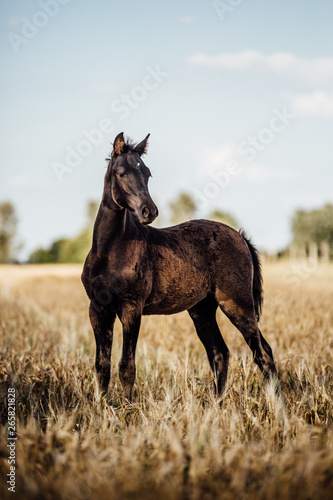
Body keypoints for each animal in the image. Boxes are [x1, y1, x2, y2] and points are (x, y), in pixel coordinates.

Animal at [81, 133, 278, 402]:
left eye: (147, 173)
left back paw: (277, 405)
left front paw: (127, 408)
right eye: (121, 173)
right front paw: (101, 406)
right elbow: (102, 366)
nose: (149, 211)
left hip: (237, 304)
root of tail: (240, 237)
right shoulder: (98, 308)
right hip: (202, 310)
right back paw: (215, 404)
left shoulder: (131, 307)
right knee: (220, 354)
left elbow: (126, 366)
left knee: (263, 352)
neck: (109, 251)